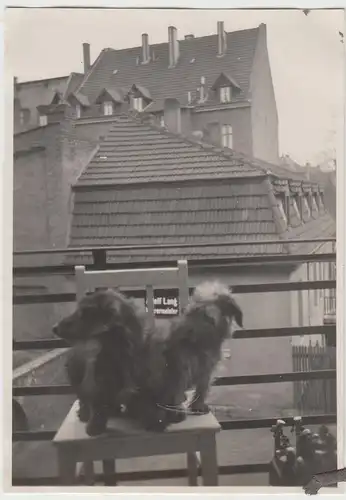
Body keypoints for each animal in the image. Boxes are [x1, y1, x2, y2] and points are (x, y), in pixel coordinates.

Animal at [52, 288, 143, 436]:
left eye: (84, 312)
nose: (54, 328)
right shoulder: (97, 382)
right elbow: (97, 404)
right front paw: (94, 427)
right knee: (83, 398)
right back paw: (85, 413)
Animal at [126, 284, 243, 432]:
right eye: (197, 306)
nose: (208, 315)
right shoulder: (179, 369)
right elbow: (177, 390)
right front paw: (176, 413)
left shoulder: (206, 370)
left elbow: (202, 388)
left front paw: (198, 406)